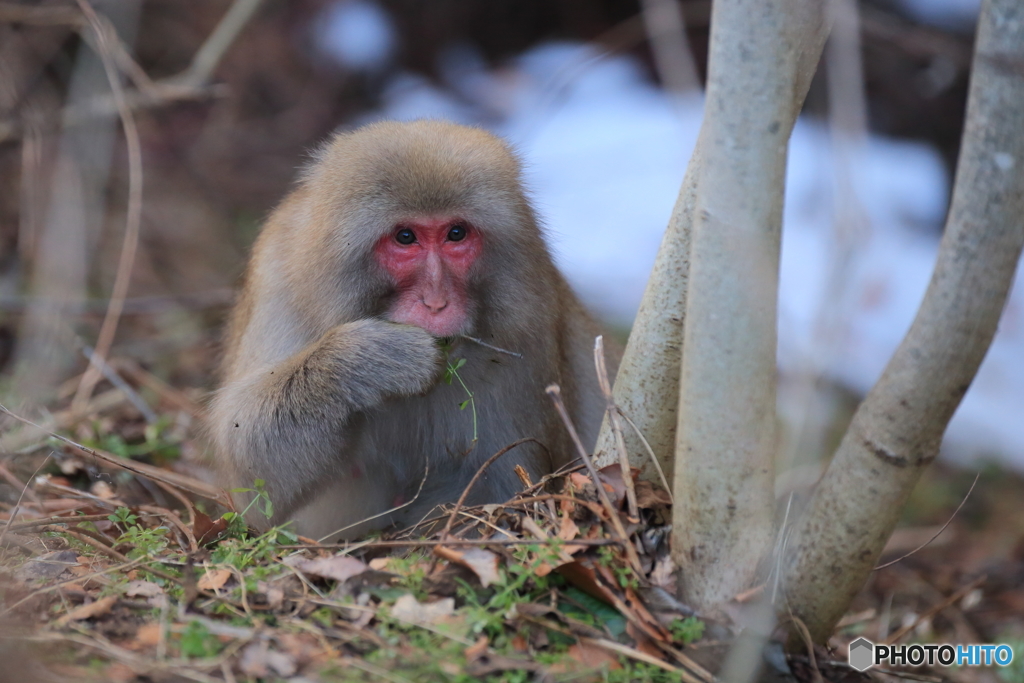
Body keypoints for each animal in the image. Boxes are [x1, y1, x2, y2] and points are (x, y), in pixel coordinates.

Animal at [209, 120, 614, 540]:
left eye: (456, 233)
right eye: (405, 237)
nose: (436, 302)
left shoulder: (528, 323)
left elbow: (499, 485)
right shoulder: (278, 280)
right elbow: (251, 473)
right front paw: (369, 359)